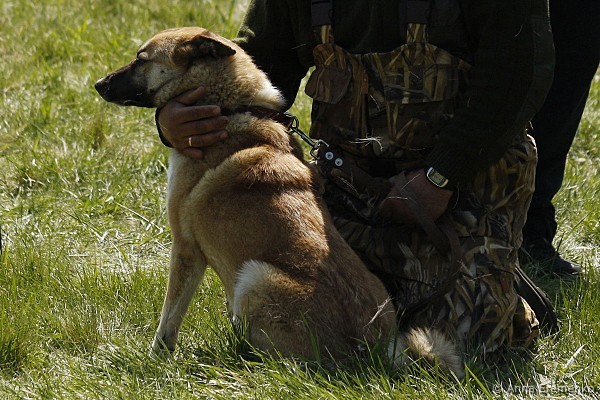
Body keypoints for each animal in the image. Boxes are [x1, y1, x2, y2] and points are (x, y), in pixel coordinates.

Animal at [95, 27, 463, 376]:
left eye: (141, 60)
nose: (98, 84)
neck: (230, 107)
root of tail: (373, 352)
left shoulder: (186, 249)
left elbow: (169, 318)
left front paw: (155, 359)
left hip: (255, 278)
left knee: (277, 361)